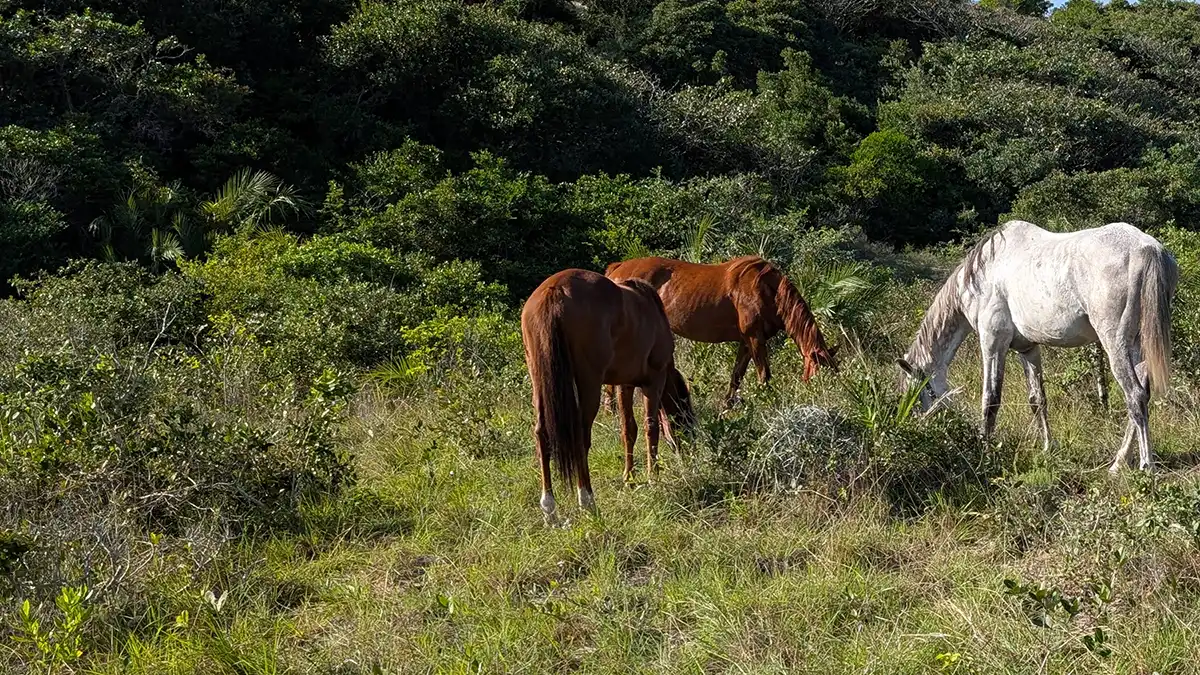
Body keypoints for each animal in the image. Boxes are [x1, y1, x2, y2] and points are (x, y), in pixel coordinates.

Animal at [521, 268, 696, 523]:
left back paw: (550, 510)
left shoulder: (624, 384)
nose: (689, 455)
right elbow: (650, 427)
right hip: (589, 385)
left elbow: (628, 429)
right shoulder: (654, 381)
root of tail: (554, 291)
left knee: (542, 435)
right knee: (580, 437)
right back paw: (587, 502)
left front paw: (629, 479)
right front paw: (653, 477)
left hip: (540, 382)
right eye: (685, 417)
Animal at [603, 255, 840, 409]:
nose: (832, 400)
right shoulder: (755, 338)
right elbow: (764, 374)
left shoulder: (746, 342)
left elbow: (736, 376)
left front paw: (727, 406)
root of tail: (617, 269)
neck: (765, 289)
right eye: (817, 375)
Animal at [895, 220, 1177, 472]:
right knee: (1141, 396)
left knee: (1135, 397)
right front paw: (1047, 447)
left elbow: (990, 399)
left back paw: (1146, 465)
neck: (983, 273)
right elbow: (1038, 399)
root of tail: (1147, 249)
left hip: (1115, 344)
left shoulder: (992, 342)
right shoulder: (1028, 349)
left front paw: (984, 452)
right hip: (1137, 347)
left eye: (919, 392)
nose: (919, 424)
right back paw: (1119, 462)